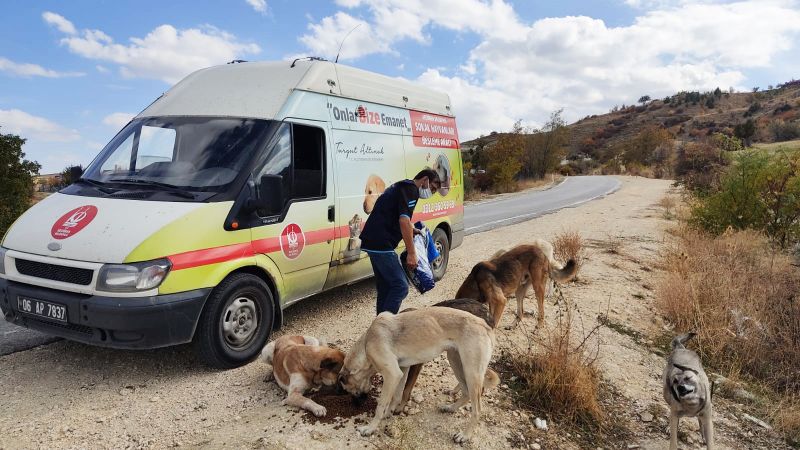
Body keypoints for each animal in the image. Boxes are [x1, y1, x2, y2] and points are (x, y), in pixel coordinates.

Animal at [340, 310, 496, 442]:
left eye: (348, 390)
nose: (356, 405)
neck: (366, 343)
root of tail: (484, 324)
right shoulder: (401, 371)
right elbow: (396, 396)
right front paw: (388, 413)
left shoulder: (392, 374)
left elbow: (381, 405)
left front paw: (371, 428)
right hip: (456, 361)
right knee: (466, 393)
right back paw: (450, 408)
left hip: (471, 372)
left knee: (477, 408)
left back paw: (465, 435)